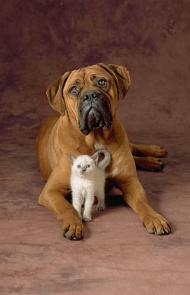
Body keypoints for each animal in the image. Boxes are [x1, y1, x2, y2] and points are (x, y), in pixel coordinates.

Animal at [36, 62, 171, 240]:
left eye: (101, 82)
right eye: (74, 89)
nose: (90, 95)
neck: (95, 138)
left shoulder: (130, 182)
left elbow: (143, 203)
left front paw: (155, 218)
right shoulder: (51, 191)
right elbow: (67, 207)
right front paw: (73, 224)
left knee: (133, 149)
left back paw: (154, 154)